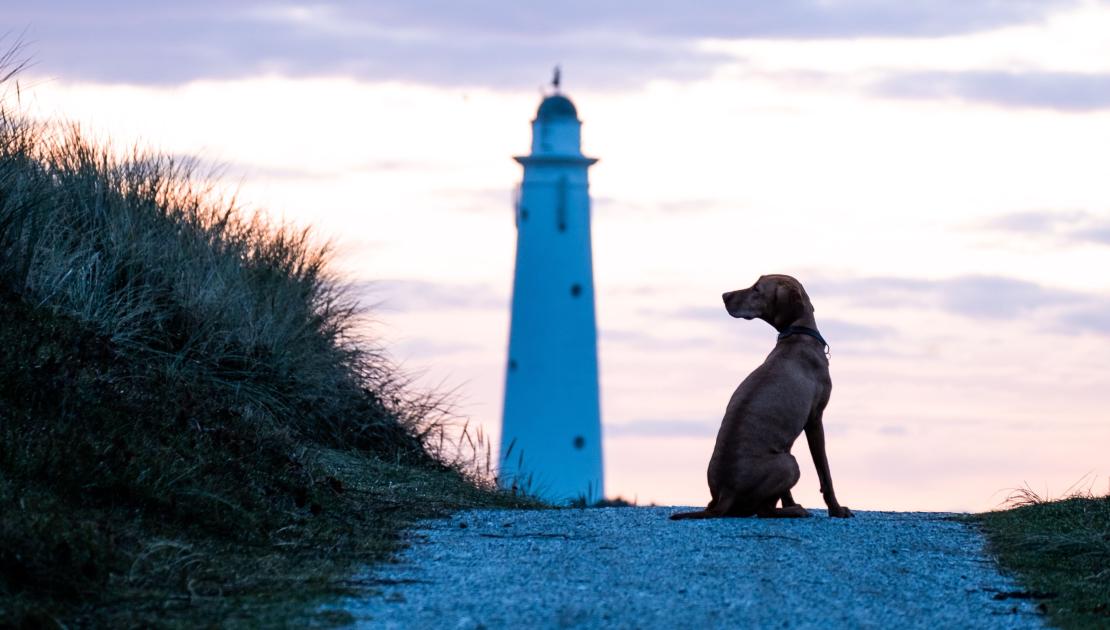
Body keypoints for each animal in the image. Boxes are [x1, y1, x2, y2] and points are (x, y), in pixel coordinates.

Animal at [670, 277, 852, 521]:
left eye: (756, 288)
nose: (724, 295)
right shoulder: (814, 419)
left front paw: (790, 503)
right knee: (764, 511)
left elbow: (786, 491)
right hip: (790, 463)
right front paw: (837, 509)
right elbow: (825, 472)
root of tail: (726, 491)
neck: (797, 336)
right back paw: (797, 511)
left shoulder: (788, 439)